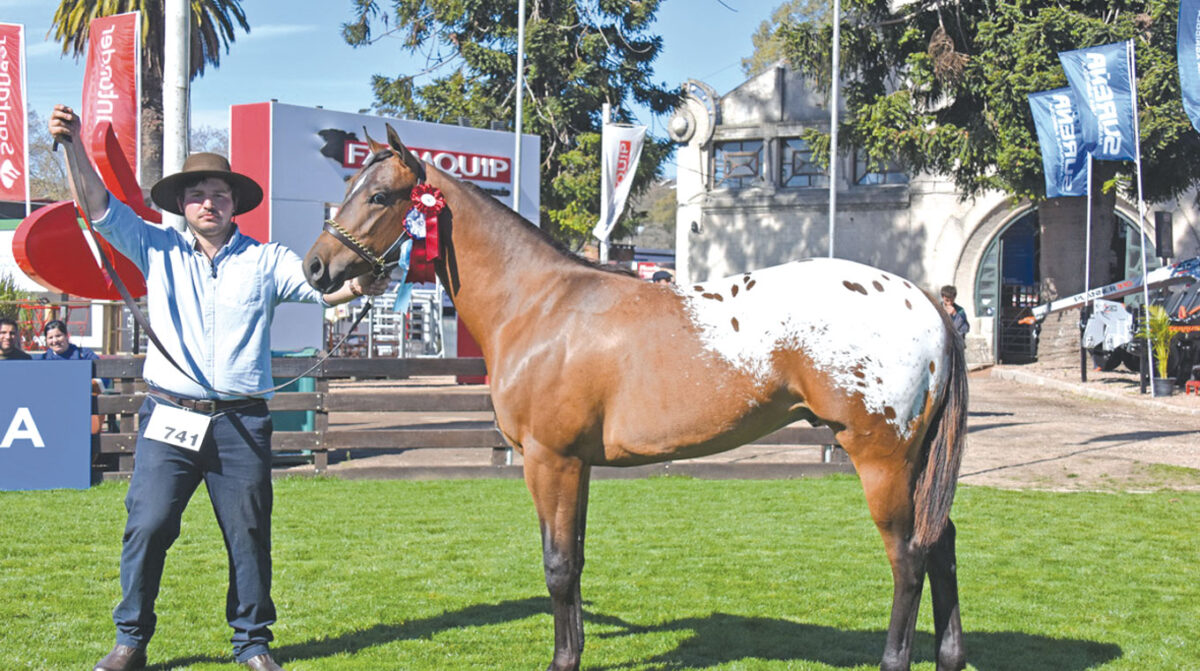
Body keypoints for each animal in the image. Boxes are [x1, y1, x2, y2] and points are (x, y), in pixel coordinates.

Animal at [303, 125, 969, 671]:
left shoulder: (550, 460)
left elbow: (557, 566)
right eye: (351, 186)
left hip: (882, 459)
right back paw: (951, 656)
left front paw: (561, 661)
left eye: (380, 197)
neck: (537, 303)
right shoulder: (577, 465)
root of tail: (923, 299)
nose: (315, 268)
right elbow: (574, 560)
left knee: (909, 558)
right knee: (941, 544)